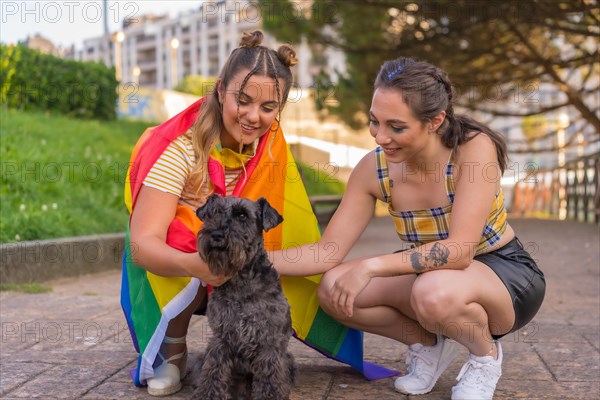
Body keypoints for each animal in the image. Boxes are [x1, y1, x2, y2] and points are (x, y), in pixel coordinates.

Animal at [192, 195, 296, 400]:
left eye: (242, 215)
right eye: (213, 213)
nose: (216, 234)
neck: (241, 281)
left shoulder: (269, 339)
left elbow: (269, 375)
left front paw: (269, 396)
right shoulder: (221, 336)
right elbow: (215, 369)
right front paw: (209, 394)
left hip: (288, 360)